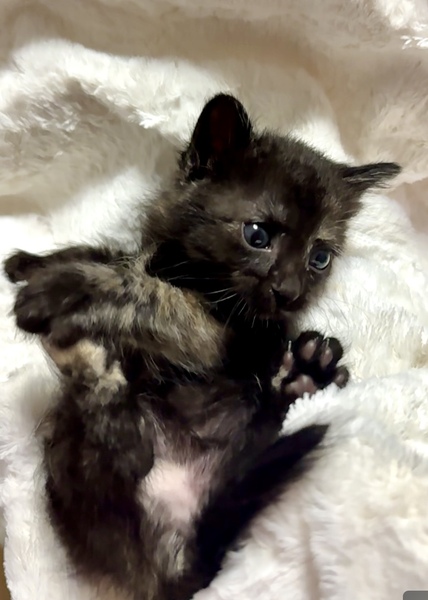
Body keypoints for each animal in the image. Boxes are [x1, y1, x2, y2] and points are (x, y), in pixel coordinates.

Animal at [4, 94, 400, 600]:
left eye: (320, 257)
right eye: (258, 235)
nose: (290, 293)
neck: (186, 269)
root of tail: (168, 559)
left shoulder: (219, 336)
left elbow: (149, 294)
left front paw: (62, 288)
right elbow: (108, 255)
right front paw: (31, 263)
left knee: (131, 450)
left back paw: (306, 372)